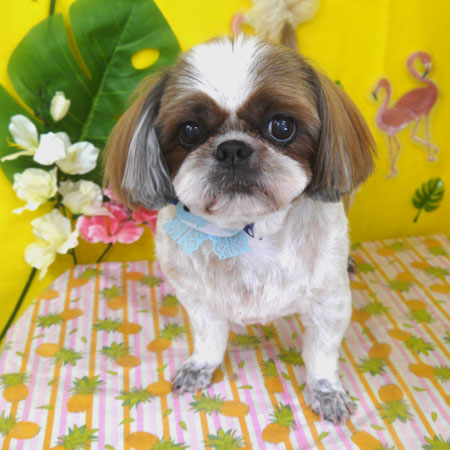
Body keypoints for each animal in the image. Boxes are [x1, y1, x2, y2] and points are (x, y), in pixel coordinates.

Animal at [104, 33, 375, 424]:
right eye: (189, 131)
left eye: (282, 126)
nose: (232, 148)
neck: (246, 233)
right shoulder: (196, 298)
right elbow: (209, 336)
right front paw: (200, 366)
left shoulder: (329, 302)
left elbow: (321, 352)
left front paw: (326, 391)